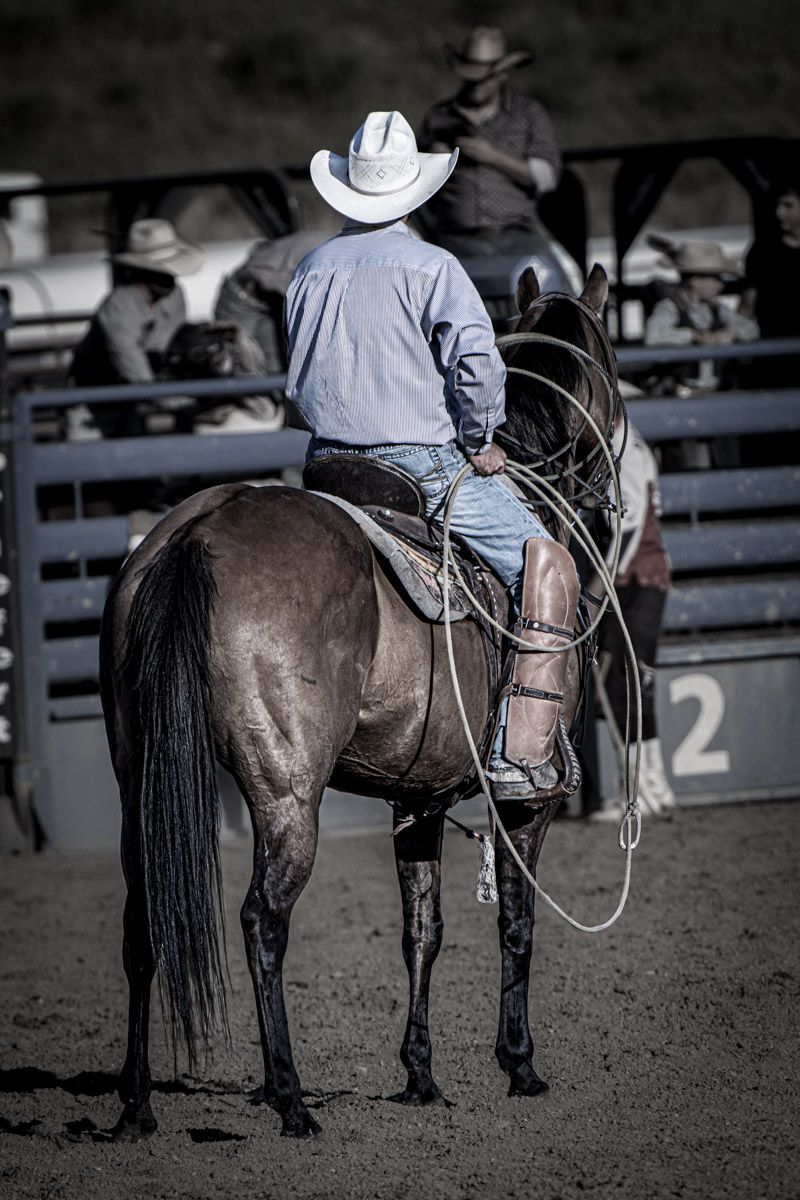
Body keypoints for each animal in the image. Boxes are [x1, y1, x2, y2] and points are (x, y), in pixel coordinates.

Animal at [100, 263, 618, 1139]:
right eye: (616, 372)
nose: (616, 494)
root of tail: (193, 535)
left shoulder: (419, 795)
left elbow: (423, 931)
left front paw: (421, 1075)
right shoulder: (529, 804)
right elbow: (516, 922)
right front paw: (519, 1064)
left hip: (140, 779)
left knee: (144, 922)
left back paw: (138, 1105)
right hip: (286, 792)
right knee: (263, 921)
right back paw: (290, 1099)